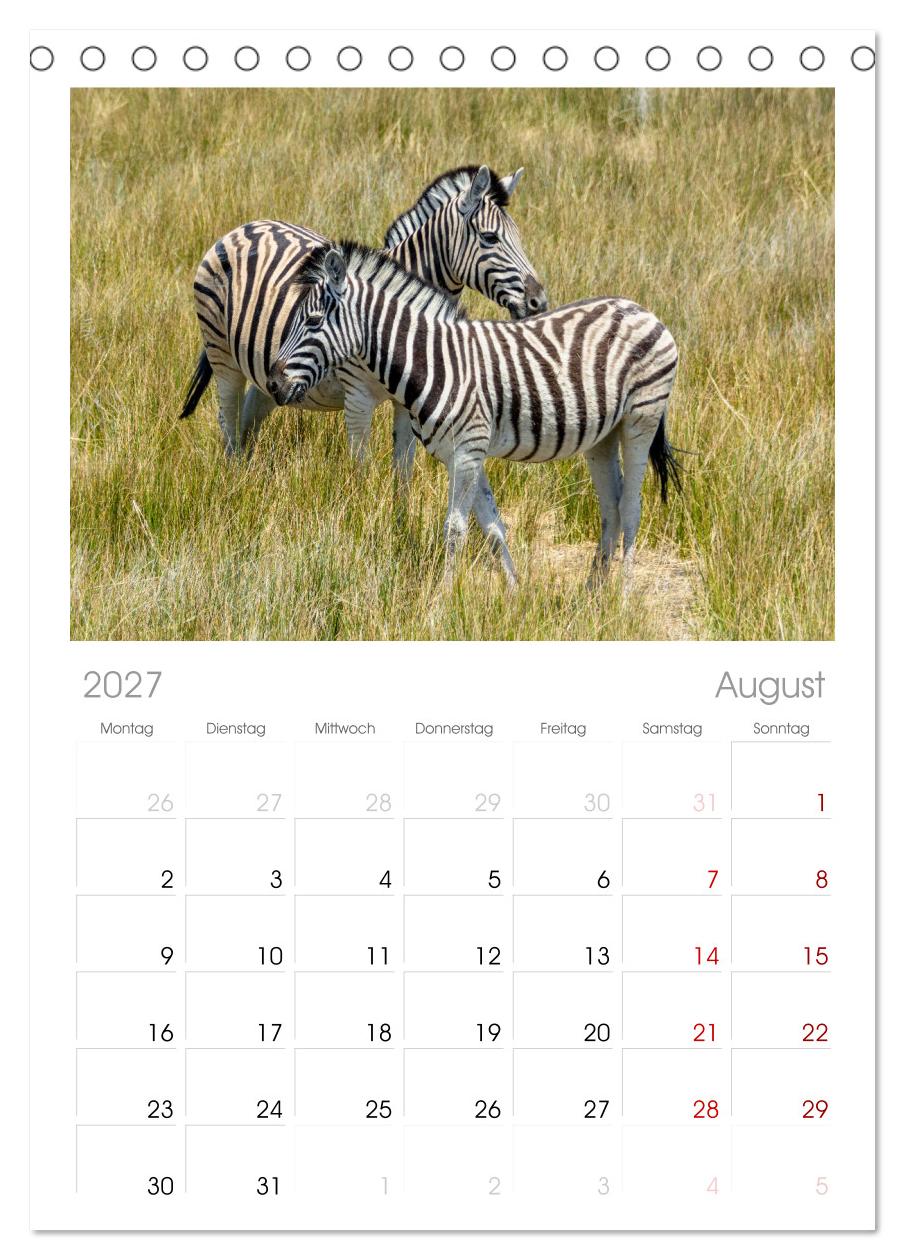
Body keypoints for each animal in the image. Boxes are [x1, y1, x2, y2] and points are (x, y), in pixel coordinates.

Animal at [179, 165, 547, 473]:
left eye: (519, 236)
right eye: (490, 238)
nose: (539, 301)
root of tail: (242, 228)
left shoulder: (408, 403)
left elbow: (403, 472)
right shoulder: (357, 399)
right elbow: (361, 471)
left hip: (266, 374)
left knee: (247, 423)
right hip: (222, 355)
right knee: (228, 423)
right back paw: (231, 484)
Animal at [266, 243, 680, 588]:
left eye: (314, 321)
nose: (273, 384)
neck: (434, 362)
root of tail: (642, 310)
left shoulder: (467, 451)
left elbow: (455, 530)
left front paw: (442, 599)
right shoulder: (463, 454)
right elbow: (493, 526)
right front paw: (514, 593)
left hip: (641, 418)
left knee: (630, 507)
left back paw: (622, 595)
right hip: (602, 436)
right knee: (610, 507)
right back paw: (593, 595)